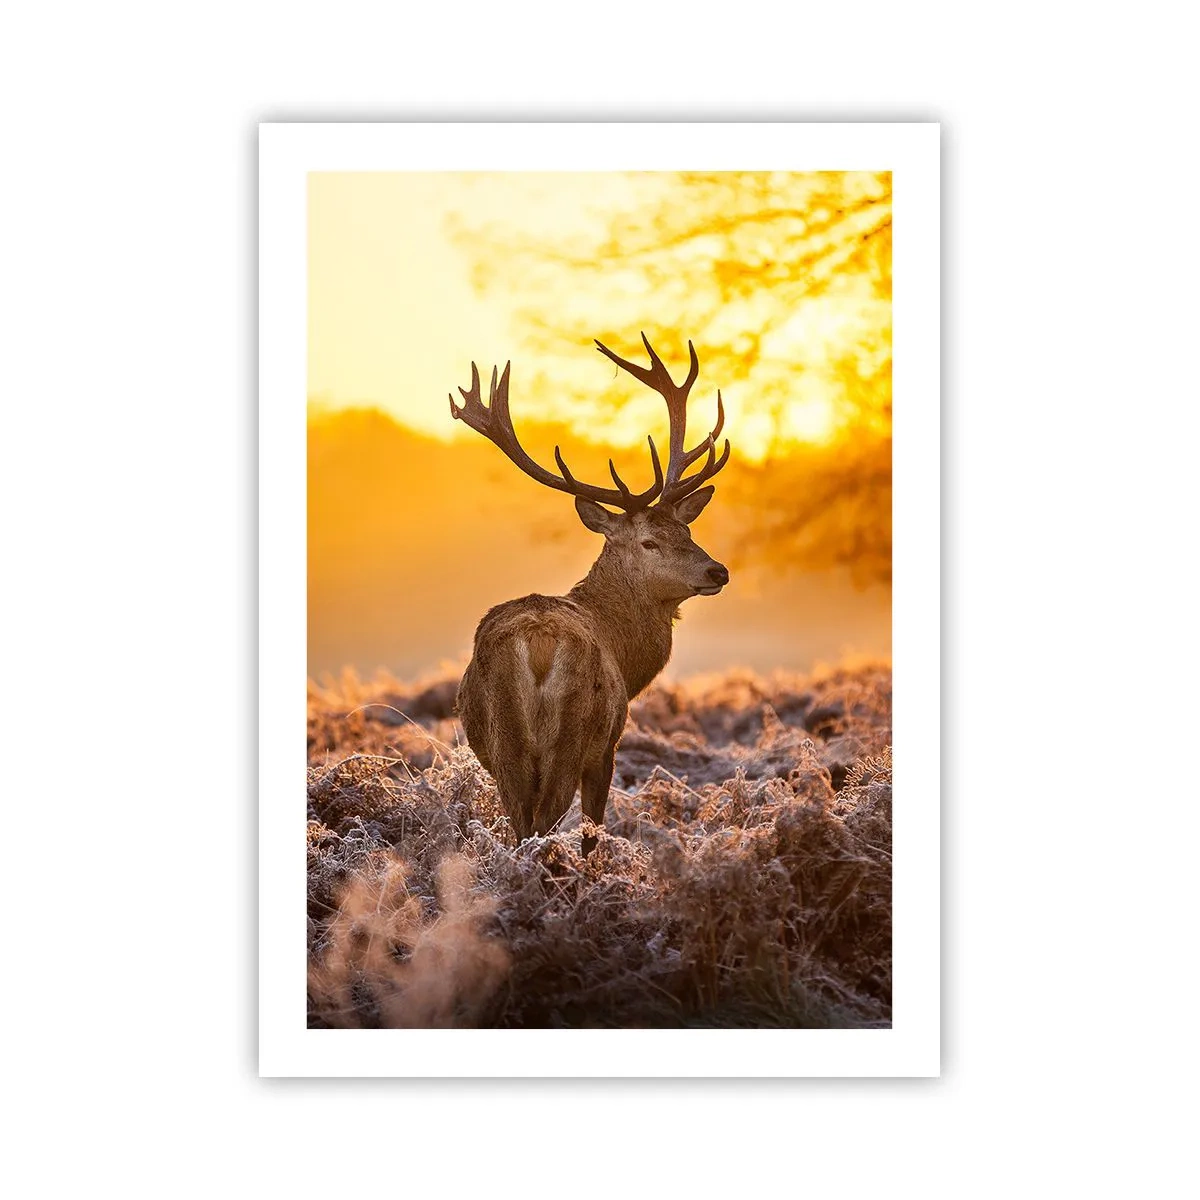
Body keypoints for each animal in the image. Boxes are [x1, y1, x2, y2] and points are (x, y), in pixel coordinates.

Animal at [449, 334, 731, 855]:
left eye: (687, 530)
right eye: (649, 541)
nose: (717, 570)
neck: (625, 654)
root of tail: (537, 644)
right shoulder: (608, 745)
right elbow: (592, 831)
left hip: (504, 744)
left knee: (521, 823)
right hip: (572, 734)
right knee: (545, 822)